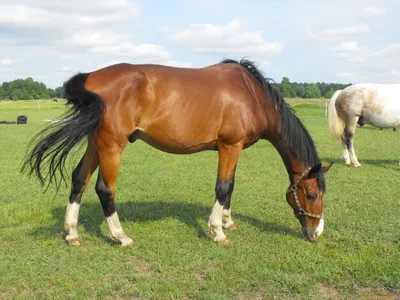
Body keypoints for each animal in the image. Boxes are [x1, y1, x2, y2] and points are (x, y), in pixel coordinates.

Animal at [23, 59, 332, 246]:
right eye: (311, 194)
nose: (316, 232)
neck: (252, 95)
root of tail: (90, 78)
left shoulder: (236, 148)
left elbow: (231, 186)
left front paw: (228, 222)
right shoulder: (229, 146)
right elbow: (223, 186)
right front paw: (217, 231)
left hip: (94, 143)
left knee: (79, 180)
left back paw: (72, 233)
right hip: (111, 146)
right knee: (104, 188)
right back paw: (121, 236)